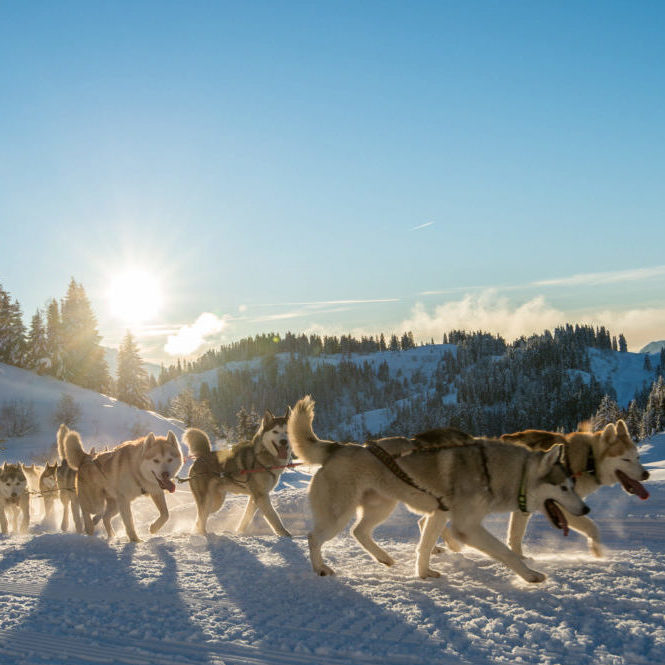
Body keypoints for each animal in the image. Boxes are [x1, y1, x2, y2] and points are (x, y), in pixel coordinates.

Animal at [185, 408, 292, 537]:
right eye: (275, 431)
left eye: (287, 431)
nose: (283, 441)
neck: (261, 458)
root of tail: (202, 456)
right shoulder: (261, 496)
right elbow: (274, 517)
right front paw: (285, 533)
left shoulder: (255, 498)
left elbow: (246, 517)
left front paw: (239, 532)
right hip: (207, 500)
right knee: (201, 516)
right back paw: (202, 533)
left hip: (216, 502)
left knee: (201, 516)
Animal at [288, 396, 589, 583]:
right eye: (564, 487)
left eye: (572, 485)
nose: (586, 509)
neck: (491, 469)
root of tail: (338, 447)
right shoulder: (465, 526)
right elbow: (505, 552)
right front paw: (530, 575)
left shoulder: (438, 515)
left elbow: (424, 547)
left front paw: (423, 573)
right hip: (339, 515)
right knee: (314, 537)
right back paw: (320, 568)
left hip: (381, 507)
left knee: (359, 531)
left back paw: (384, 557)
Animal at [499, 420, 650, 558]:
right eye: (626, 459)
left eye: (637, 457)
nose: (646, 474)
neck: (589, 460)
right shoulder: (563, 508)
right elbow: (592, 527)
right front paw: (598, 553)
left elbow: (515, 535)